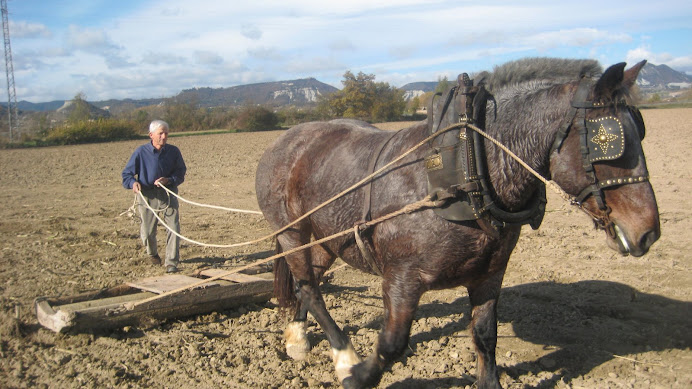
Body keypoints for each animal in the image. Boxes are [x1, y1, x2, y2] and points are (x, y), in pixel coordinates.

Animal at [254, 56, 660, 386]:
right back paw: (343, 356)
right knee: (308, 285)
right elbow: (391, 344)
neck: (466, 169)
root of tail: (285, 140)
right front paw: (357, 376)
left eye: (641, 130)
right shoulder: (402, 279)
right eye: (607, 140)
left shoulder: (490, 274)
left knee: (309, 280)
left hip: (328, 236)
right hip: (291, 232)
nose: (648, 232)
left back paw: (297, 338)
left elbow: (484, 335)